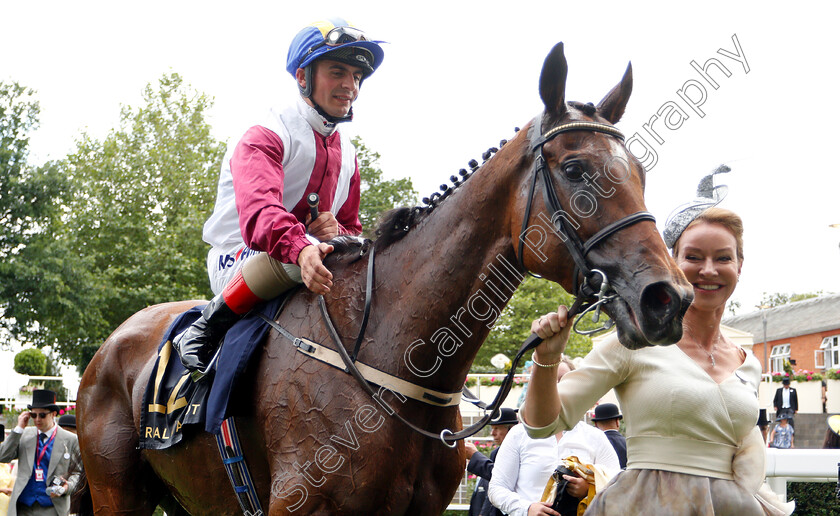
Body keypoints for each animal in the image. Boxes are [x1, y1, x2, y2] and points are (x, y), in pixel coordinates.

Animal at [75, 42, 692, 512]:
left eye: (640, 172)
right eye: (575, 168)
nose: (669, 297)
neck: (391, 356)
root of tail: (110, 346)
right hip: (118, 492)